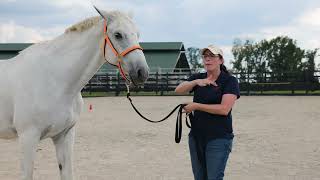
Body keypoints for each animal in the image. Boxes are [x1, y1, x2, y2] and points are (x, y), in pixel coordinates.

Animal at [0, 7, 149, 180]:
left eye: (137, 34)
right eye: (118, 34)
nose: (142, 72)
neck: (54, 80)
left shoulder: (65, 135)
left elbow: (67, 173)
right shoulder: (28, 137)